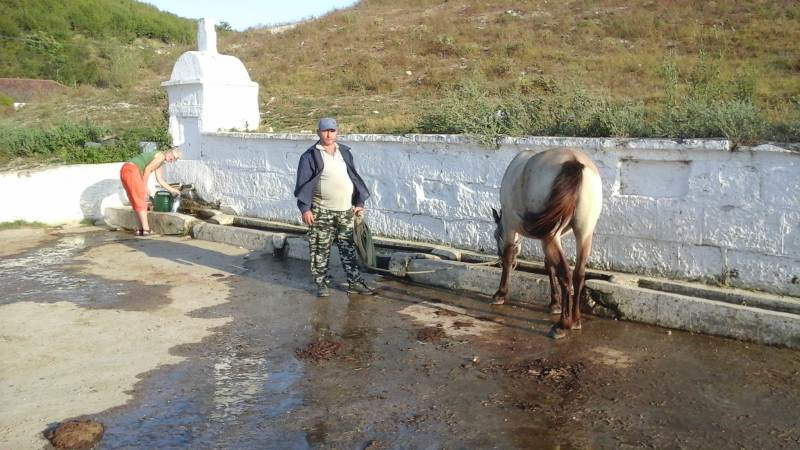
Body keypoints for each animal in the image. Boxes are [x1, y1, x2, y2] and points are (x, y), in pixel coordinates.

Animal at [490, 146, 604, 340]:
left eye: (496, 235)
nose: (496, 259)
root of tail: (574, 161)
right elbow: (548, 265)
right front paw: (554, 304)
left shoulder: (512, 228)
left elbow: (508, 256)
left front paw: (500, 294)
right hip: (584, 232)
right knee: (578, 274)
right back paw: (576, 321)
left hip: (550, 236)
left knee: (565, 274)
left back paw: (562, 325)